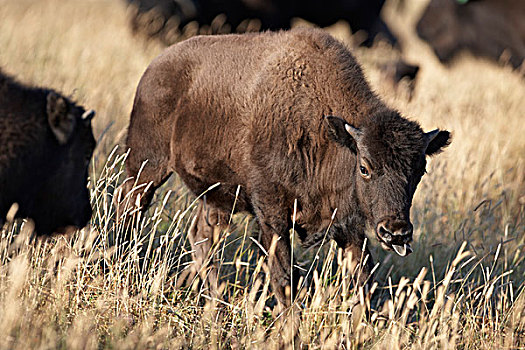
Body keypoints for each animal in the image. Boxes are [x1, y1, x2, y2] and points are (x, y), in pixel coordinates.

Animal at [115, 28, 450, 310]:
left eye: (420, 171)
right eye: (365, 168)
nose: (396, 232)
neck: (329, 133)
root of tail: (156, 66)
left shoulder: (349, 226)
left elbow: (361, 283)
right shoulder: (272, 216)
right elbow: (285, 280)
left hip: (216, 196)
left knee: (202, 237)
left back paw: (210, 302)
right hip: (146, 166)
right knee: (129, 206)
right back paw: (119, 262)